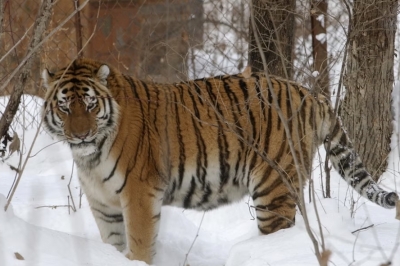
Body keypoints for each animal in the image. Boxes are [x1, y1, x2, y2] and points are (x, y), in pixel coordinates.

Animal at [39, 58, 396, 264]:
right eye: (65, 107)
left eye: (89, 105)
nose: (81, 135)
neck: (91, 156)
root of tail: (310, 93)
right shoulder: (103, 204)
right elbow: (112, 243)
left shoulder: (138, 194)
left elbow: (139, 245)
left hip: (274, 187)